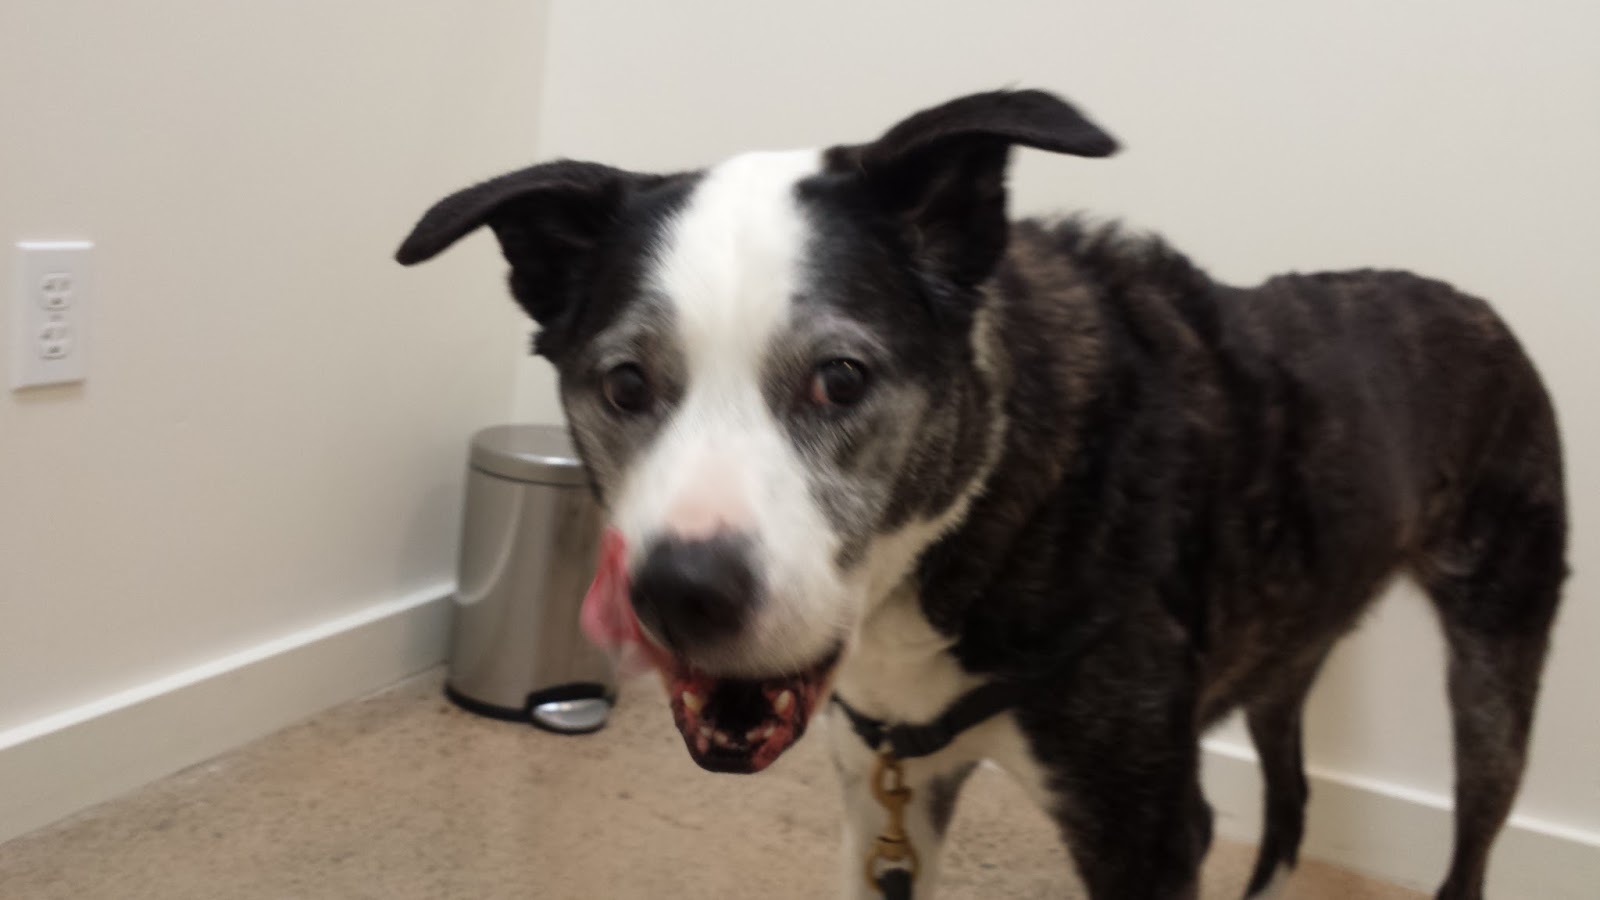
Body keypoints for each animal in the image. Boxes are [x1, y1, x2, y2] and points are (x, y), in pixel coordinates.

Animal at [397, 90, 1566, 900]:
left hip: (1495, 662)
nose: (679, 595)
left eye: (841, 379)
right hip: (1290, 642)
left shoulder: (1143, 828)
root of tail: (1477, 310)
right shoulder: (884, 794)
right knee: (1290, 795)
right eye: (626, 385)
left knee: (1471, 834)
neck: (985, 515)